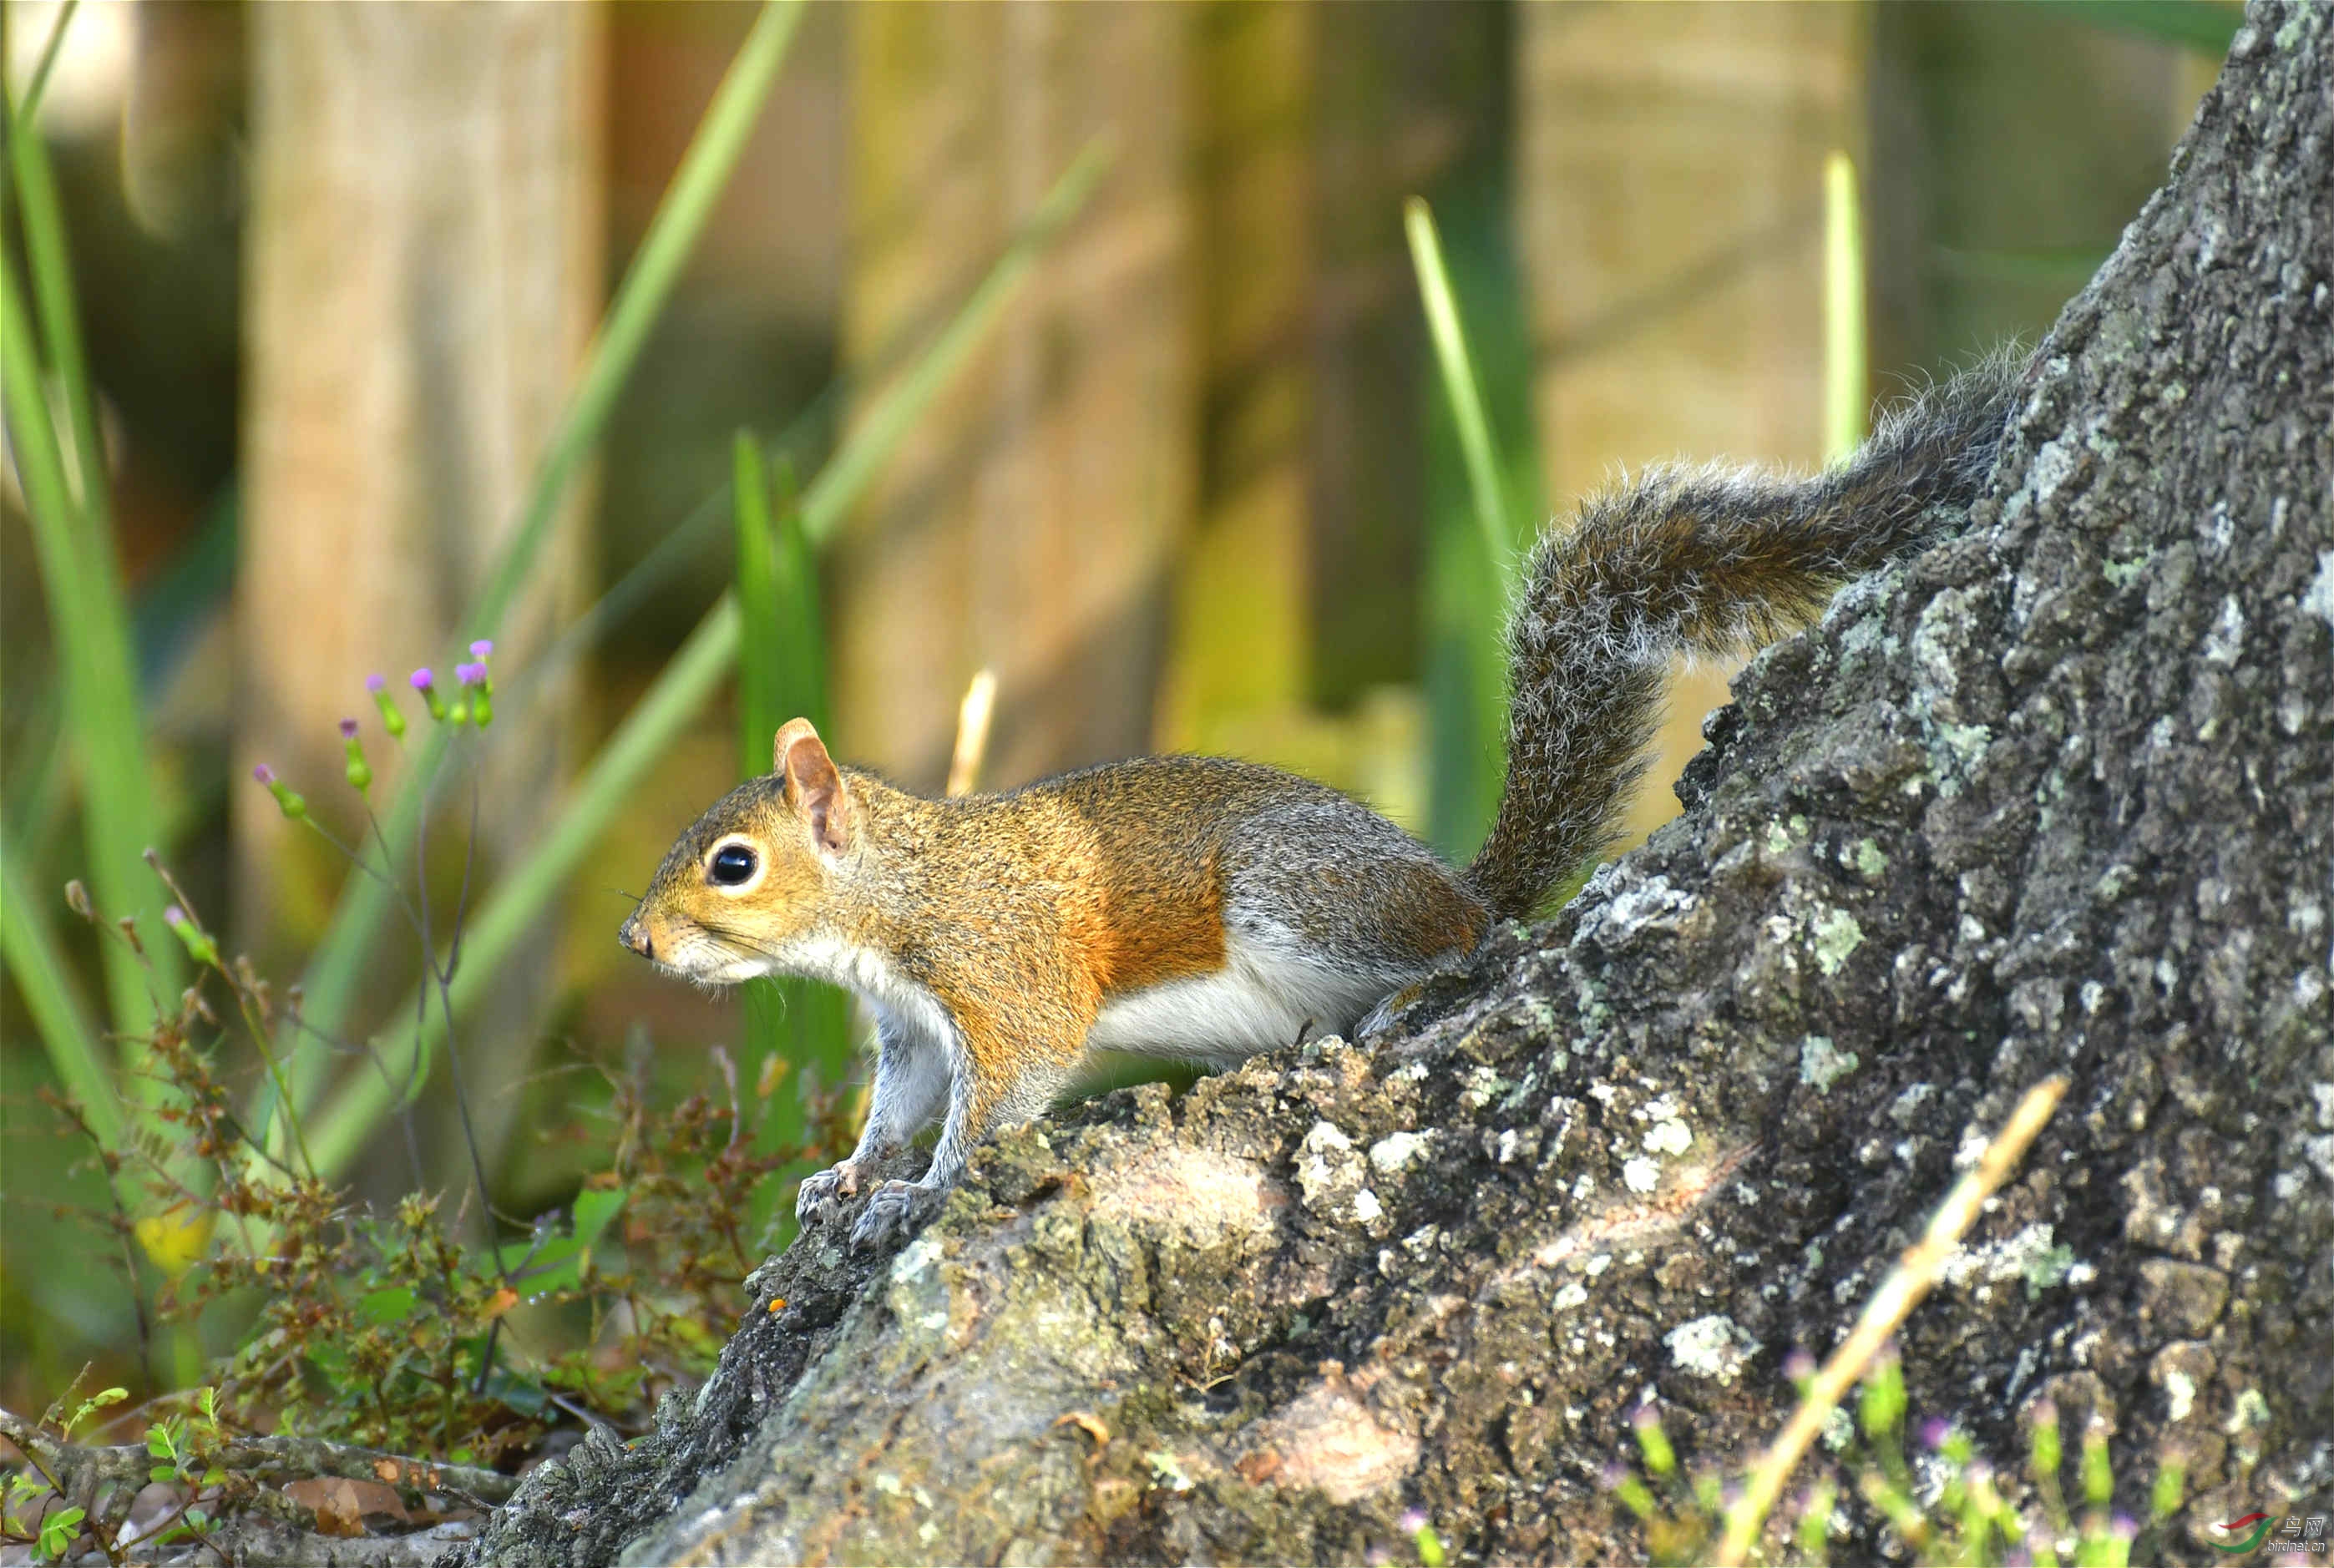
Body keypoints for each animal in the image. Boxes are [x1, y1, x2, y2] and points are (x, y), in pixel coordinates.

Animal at [615, 350, 2026, 1241]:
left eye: (732, 861)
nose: (633, 938)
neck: (893, 899)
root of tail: (1453, 877)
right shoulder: (911, 1027)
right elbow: (900, 1106)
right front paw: (848, 1177)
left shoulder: (1000, 980)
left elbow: (1001, 1097)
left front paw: (921, 1195)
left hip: (1297, 895)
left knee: (1466, 944)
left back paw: (1406, 989)